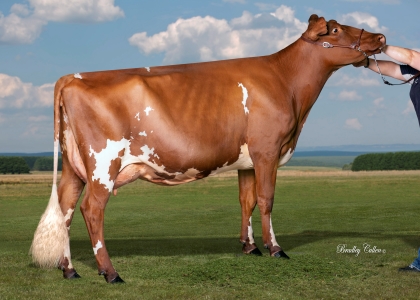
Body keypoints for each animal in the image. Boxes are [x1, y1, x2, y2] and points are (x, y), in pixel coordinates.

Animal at [31, 14, 386, 284]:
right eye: (336, 30)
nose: (380, 36)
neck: (286, 82)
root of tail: (71, 77)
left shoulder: (247, 160)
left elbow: (246, 201)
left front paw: (249, 247)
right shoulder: (267, 151)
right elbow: (266, 199)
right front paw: (275, 249)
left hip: (74, 167)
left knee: (65, 209)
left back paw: (69, 269)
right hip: (103, 163)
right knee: (91, 209)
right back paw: (110, 272)